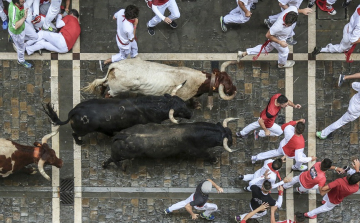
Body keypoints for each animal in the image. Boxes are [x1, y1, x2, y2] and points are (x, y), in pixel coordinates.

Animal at [42, 94, 193, 145]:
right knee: (75, 134)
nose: (191, 114)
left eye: (184, 103)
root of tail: (74, 111)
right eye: (180, 110)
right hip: (82, 130)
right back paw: (79, 142)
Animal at [83, 58, 238, 107]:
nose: (235, 89)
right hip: (116, 90)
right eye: (228, 84)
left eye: (230, 79)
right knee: (108, 94)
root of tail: (115, 66)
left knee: (103, 85)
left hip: (110, 83)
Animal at [102, 119, 236, 168]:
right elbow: (207, 154)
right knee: (112, 159)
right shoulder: (197, 151)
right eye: (228, 139)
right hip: (122, 155)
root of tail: (122, 135)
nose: (232, 142)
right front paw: (214, 160)